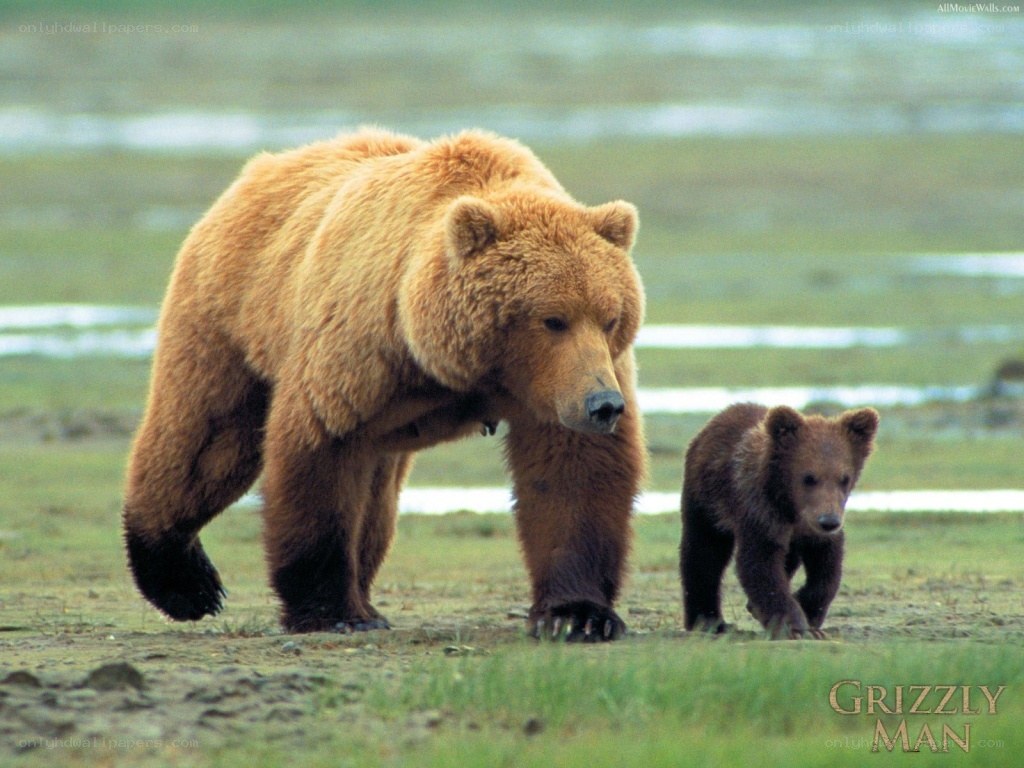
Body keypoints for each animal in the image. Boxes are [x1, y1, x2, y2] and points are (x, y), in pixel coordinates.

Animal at [122, 127, 647, 642]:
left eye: (610, 317)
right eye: (553, 319)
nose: (603, 404)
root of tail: (261, 168)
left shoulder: (559, 387)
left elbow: (572, 474)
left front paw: (577, 615)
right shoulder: (362, 350)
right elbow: (320, 457)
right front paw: (331, 611)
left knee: (374, 500)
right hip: (231, 317)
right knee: (205, 442)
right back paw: (185, 583)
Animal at [679, 403, 878, 639]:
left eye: (844, 478)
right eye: (809, 477)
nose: (828, 521)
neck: (791, 507)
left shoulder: (818, 528)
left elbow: (827, 567)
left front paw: (808, 613)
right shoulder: (760, 512)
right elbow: (760, 564)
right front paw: (793, 626)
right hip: (707, 500)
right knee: (704, 552)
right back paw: (708, 621)